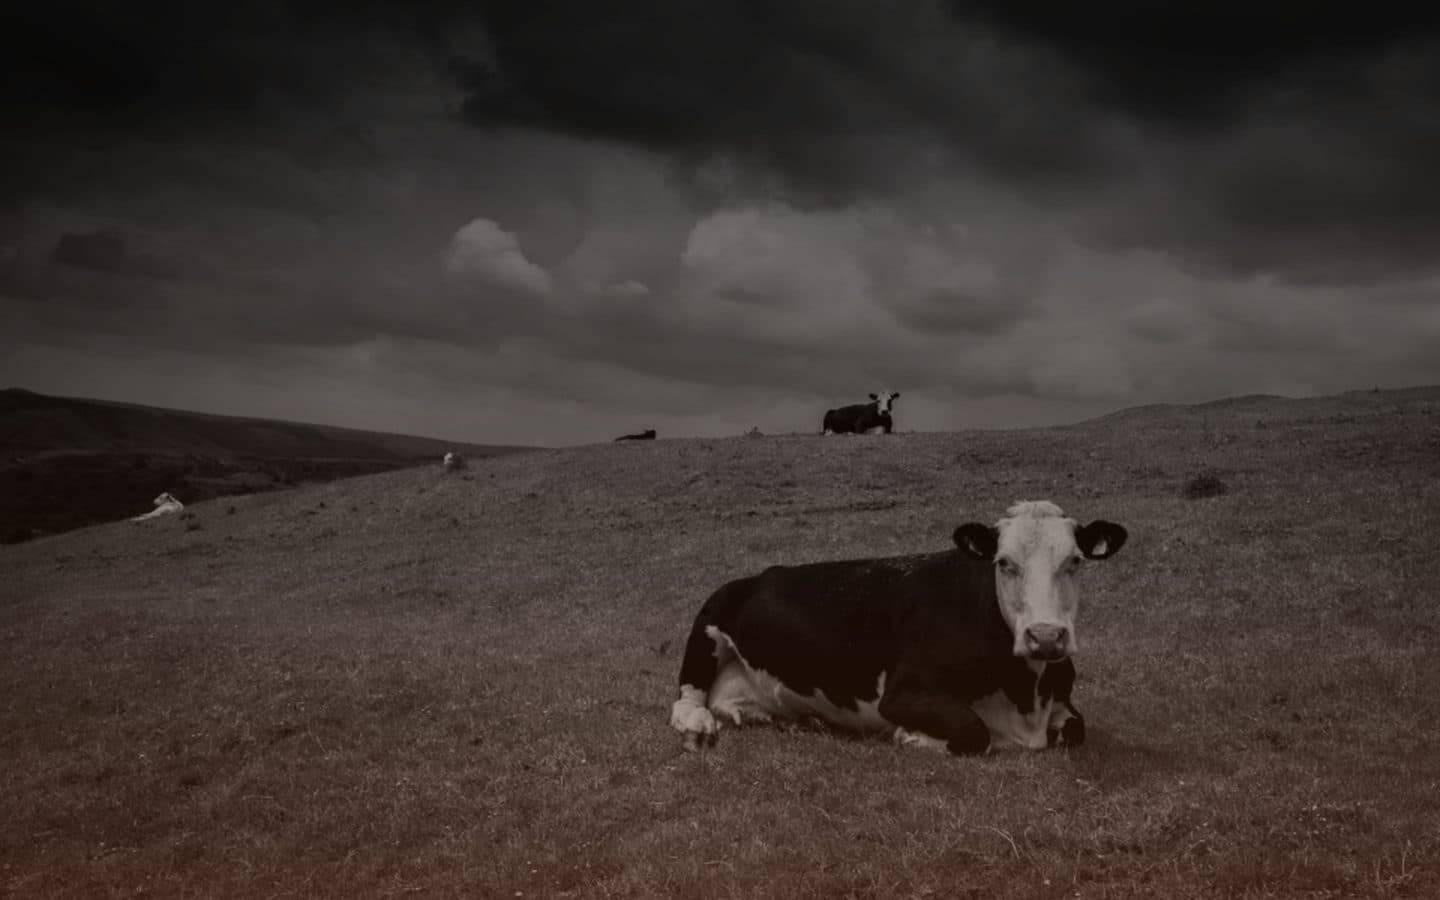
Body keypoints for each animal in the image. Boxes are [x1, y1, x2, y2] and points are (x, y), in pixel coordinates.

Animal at [668, 500, 1128, 755]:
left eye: (1075, 561)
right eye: (1004, 562)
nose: (1046, 636)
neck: (1024, 698)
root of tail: (760, 576)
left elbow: (1077, 729)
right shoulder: (901, 694)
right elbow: (973, 731)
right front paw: (914, 738)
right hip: (707, 626)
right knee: (686, 700)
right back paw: (698, 729)